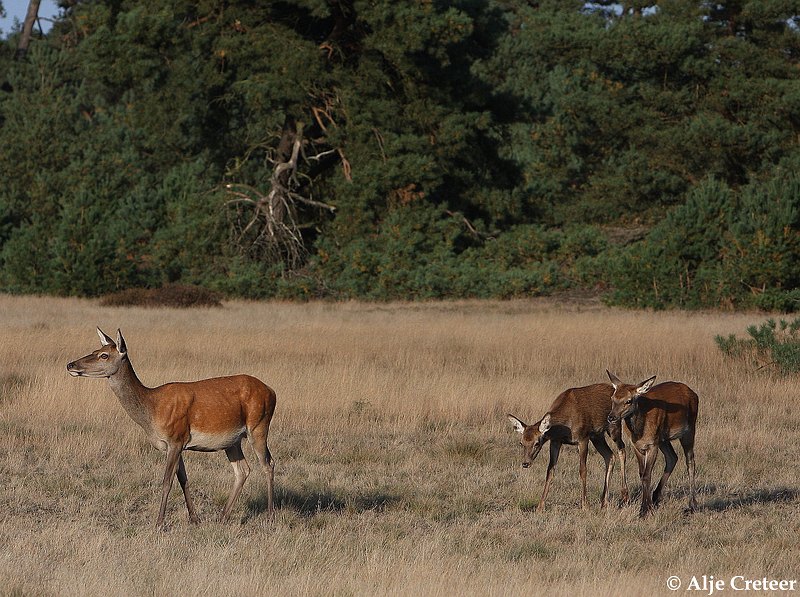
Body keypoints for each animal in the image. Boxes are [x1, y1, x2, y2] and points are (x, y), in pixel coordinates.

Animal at [66, 328, 278, 528]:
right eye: (95, 350)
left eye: (104, 355)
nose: (71, 365)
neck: (152, 410)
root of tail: (272, 391)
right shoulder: (176, 444)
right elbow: (183, 479)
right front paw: (194, 519)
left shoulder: (175, 438)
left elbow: (166, 481)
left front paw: (159, 523)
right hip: (232, 441)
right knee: (243, 470)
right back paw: (222, 516)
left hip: (259, 425)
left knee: (268, 464)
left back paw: (269, 516)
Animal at [604, 370, 696, 516]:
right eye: (613, 398)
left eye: (628, 401)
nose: (611, 417)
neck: (640, 432)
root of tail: (693, 393)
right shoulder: (637, 446)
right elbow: (642, 473)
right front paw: (648, 506)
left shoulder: (652, 445)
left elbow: (647, 475)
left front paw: (644, 510)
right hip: (663, 439)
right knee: (672, 457)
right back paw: (656, 498)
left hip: (689, 430)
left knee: (690, 461)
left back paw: (692, 505)